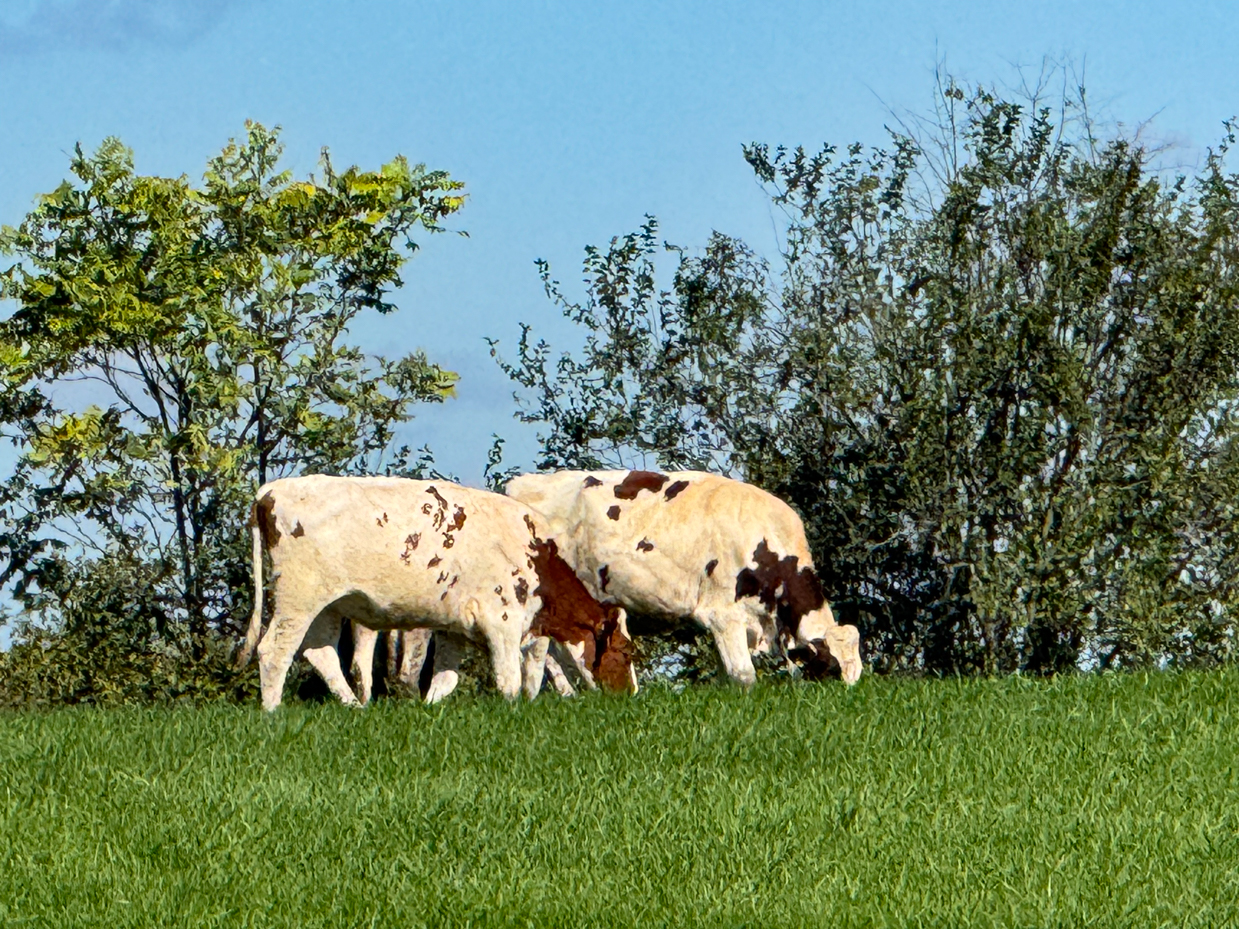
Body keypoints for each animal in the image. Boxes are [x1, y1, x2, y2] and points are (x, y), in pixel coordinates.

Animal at [236, 475, 634, 708]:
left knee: (321, 654)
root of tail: (271, 490)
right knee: (274, 652)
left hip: (330, 605)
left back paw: (355, 708)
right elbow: (510, 681)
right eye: (627, 651)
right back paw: (272, 712)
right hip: (298, 597)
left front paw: (429, 709)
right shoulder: (502, 620)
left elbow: (445, 679)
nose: (631, 694)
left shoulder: (455, 629)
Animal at [503, 468, 862, 688]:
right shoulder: (722, 614)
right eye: (831, 668)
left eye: (856, 673)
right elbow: (743, 674)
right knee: (540, 651)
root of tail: (519, 484)